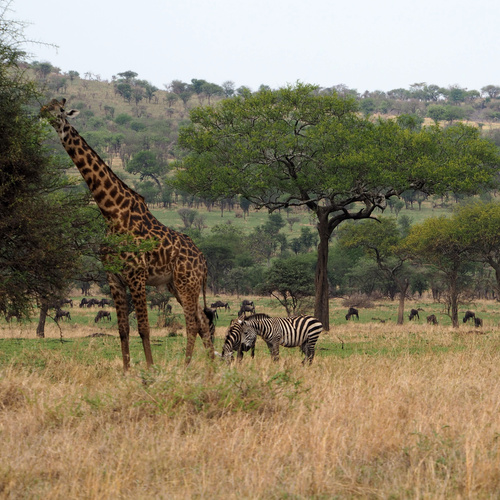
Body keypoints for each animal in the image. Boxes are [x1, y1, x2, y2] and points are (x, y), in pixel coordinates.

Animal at [41, 98, 213, 372]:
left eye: (60, 110)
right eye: (46, 105)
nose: (43, 114)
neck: (111, 213)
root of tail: (204, 261)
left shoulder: (137, 275)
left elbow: (143, 327)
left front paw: (150, 370)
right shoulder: (113, 277)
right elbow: (123, 329)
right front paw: (125, 371)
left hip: (187, 283)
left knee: (192, 324)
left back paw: (186, 368)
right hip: (178, 285)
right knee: (203, 322)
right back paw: (211, 369)